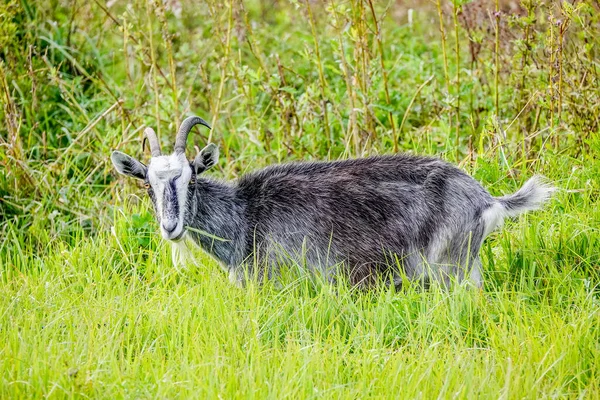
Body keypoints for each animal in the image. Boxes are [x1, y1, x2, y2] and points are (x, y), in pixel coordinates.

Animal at [111, 115, 552, 288]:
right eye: (147, 185)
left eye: (192, 178)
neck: (244, 215)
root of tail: (486, 198)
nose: (171, 227)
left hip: (449, 269)